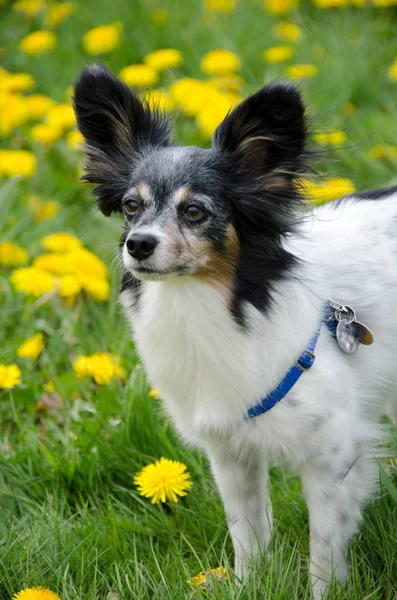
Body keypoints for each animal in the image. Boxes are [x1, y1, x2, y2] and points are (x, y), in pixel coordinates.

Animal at [73, 63, 396, 596]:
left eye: (195, 212)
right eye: (131, 207)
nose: (138, 245)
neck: (205, 306)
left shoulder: (335, 455)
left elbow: (324, 551)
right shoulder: (230, 451)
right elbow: (247, 533)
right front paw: (248, 586)